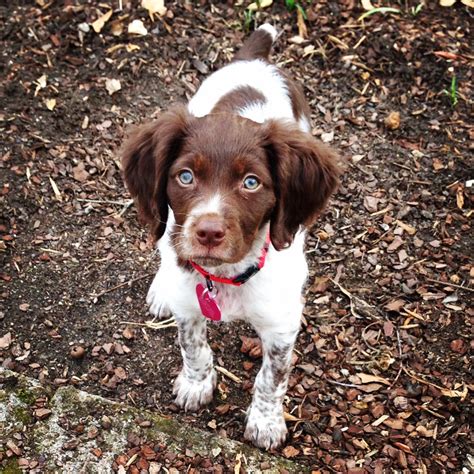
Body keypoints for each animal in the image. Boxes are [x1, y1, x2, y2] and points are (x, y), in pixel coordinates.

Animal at [120, 24, 338, 450]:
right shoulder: (190, 302)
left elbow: (272, 378)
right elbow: (193, 346)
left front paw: (266, 423)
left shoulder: (282, 326)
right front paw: (196, 385)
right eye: (186, 176)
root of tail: (255, 58)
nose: (207, 231)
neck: (226, 276)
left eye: (251, 182)